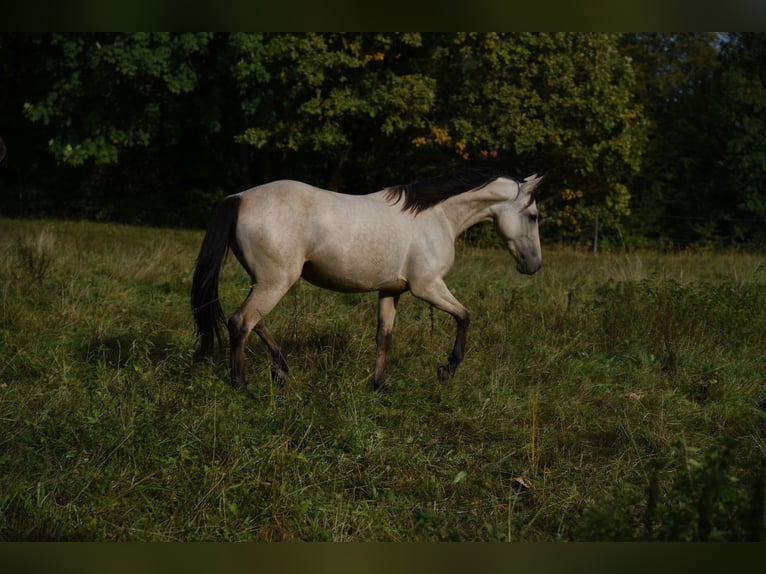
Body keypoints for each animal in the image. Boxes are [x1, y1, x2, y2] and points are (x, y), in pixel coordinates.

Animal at [191, 168, 543, 398]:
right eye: (534, 216)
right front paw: (448, 369)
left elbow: (384, 337)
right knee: (241, 322)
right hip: (274, 283)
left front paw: (380, 385)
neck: (437, 216)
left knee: (253, 321)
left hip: (267, 282)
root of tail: (238, 198)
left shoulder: (391, 290)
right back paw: (243, 387)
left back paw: (281, 368)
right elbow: (464, 316)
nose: (534, 266)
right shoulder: (428, 286)